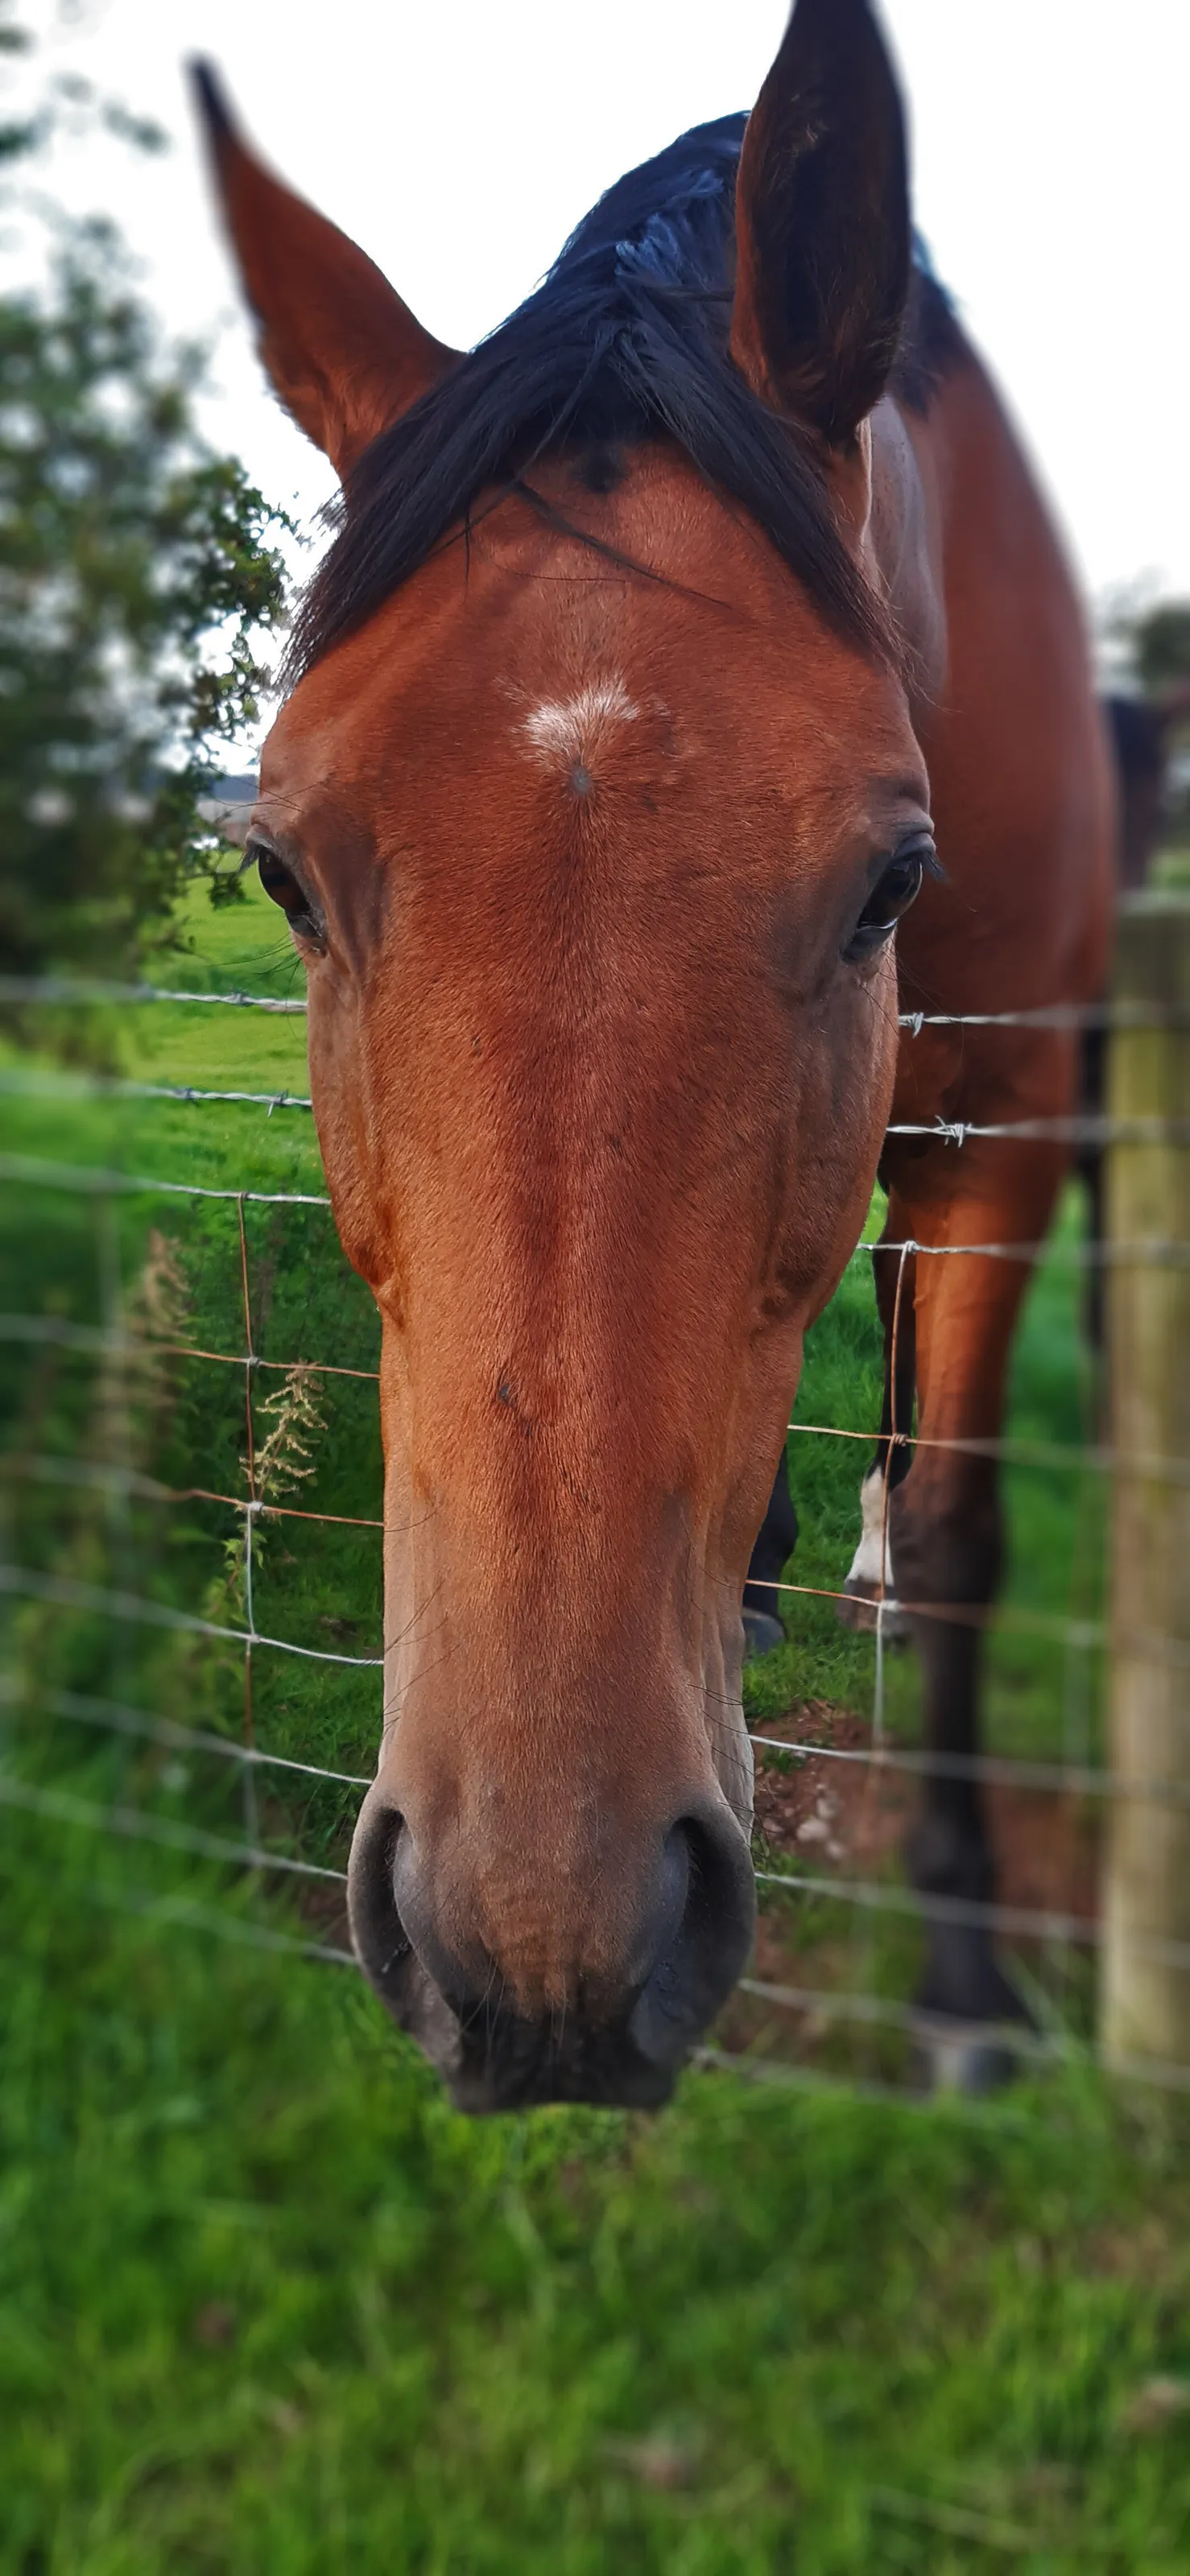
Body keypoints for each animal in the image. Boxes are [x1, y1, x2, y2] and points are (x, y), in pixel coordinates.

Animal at [195, 0, 1112, 2110]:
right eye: (279, 868)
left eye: (891, 874)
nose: (540, 1955)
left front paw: (964, 1978)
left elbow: (966, 1521)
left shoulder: (1011, 1125)